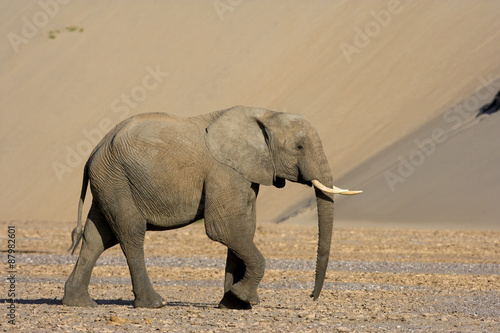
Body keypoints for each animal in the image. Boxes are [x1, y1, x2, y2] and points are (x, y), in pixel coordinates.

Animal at [61, 105, 360, 308]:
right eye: (298, 147)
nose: (312, 296)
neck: (265, 114)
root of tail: (93, 151)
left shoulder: (245, 172)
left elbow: (244, 228)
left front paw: (234, 304)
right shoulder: (223, 170)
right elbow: (224, 227)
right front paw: (243, 298)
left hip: (109, 181)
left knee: (97, 237)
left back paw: (79, 303)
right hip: (117, 179)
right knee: (130, 235)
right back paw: (154, 303)